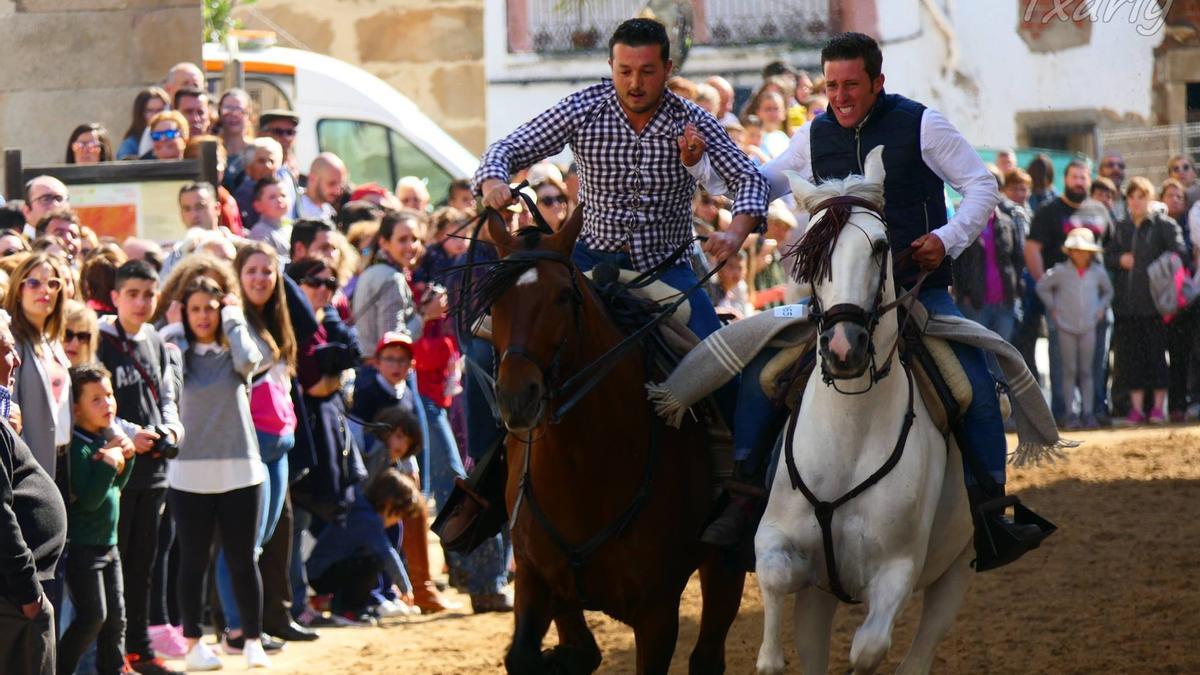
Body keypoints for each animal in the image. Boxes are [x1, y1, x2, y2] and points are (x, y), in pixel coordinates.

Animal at [475, 206, 739, 672]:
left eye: (564, 295)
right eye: (494, 301)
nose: (517, 397)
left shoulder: (657, 612)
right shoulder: (536, 576)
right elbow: (538, 653)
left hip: (725, 562)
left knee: (707, 654)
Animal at [758, 147, 974, 672]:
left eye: (879, 246)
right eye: (812, 254)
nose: (843, 347)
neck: (849, 436)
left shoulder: (898, 569)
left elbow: (868, 648)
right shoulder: (776, 537)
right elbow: (775, 575)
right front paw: (770, 657)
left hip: (956, 569)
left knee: (919, 652)